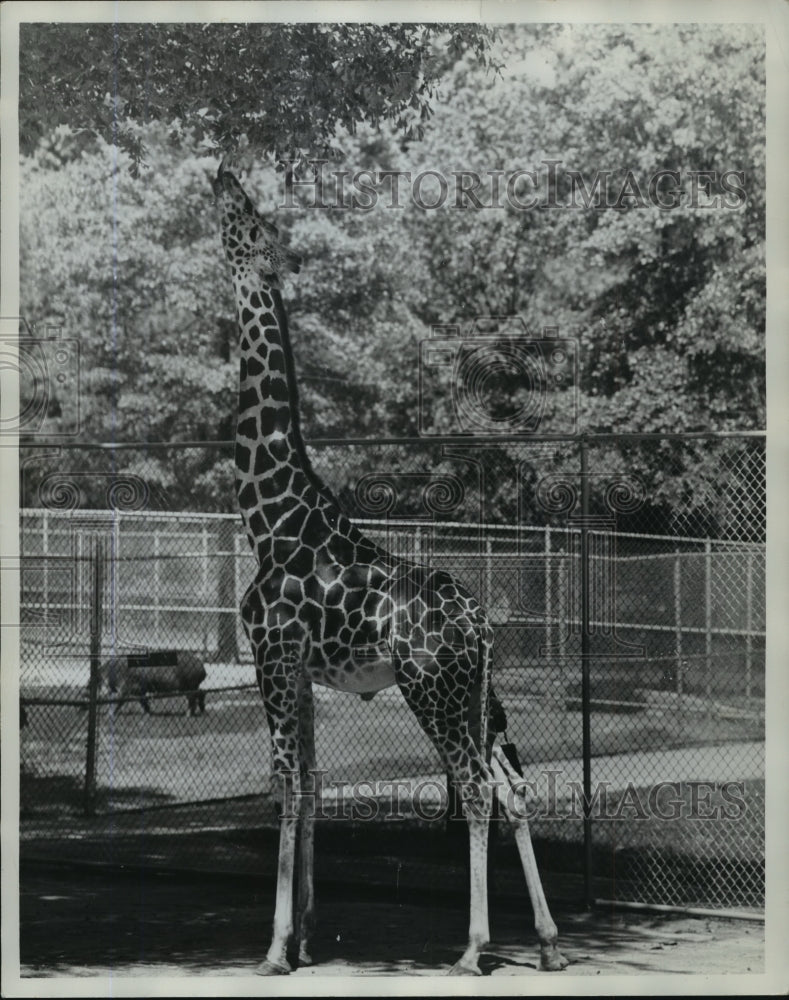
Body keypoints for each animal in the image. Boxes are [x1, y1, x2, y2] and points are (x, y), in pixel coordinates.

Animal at [209, 160, 568, 972]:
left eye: (248, 219)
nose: (222, 172)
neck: (270, 515)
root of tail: (480, 623)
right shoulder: (300, 667)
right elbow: (310, 785)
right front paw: (307, 935)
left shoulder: (271, 654)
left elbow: (284, 786)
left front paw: (274, 948)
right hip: (478, 694)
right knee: (514, 786)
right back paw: (547, 943)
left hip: (431, 687)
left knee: (475, 786)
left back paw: (473, 949)